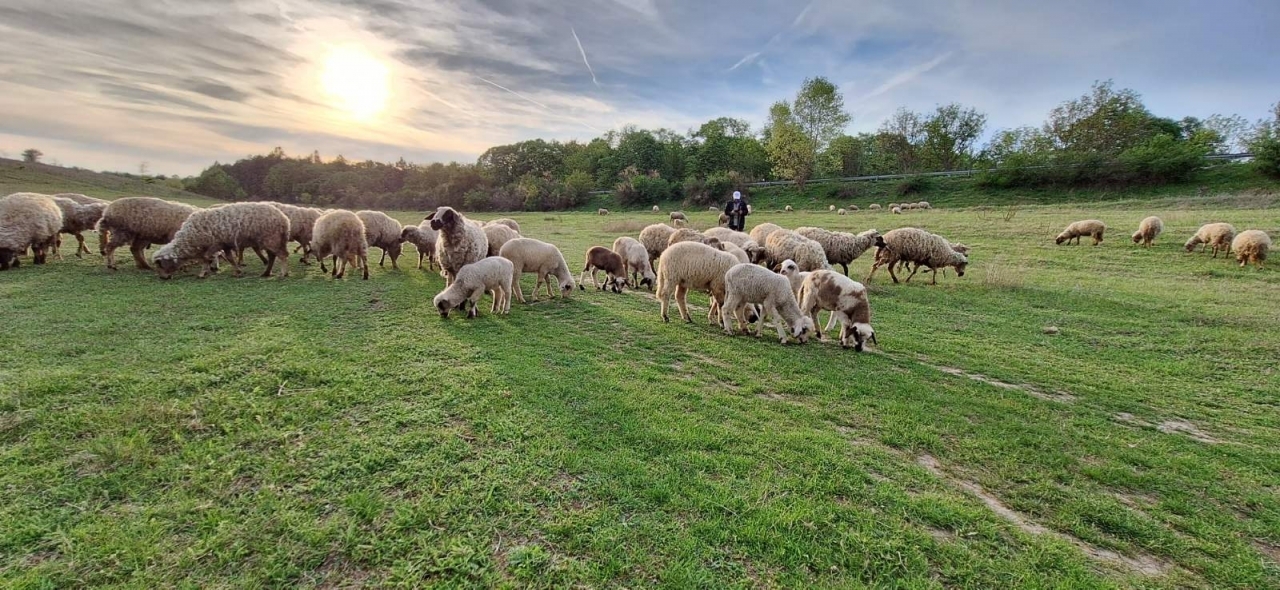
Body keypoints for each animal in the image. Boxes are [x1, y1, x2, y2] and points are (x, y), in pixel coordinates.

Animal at [152, 202, 290, 279]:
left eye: (160, 264)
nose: (163, 278)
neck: (190, 238)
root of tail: (284, 219)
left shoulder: (213, 244)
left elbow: (206, 258)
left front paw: (202, 273)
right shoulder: (225, 244)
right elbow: (229, 258)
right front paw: (237, 272)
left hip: (271, 238)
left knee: (282, 255)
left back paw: (283, 273)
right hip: (270, 240)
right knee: (273, 256)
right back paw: (266, 273)